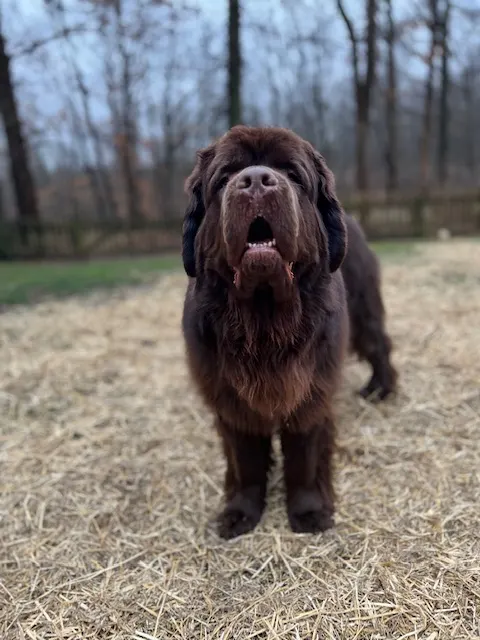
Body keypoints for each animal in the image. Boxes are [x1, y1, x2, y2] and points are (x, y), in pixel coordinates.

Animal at [182, 126, 396, 540]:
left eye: (293, 175)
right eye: (226, 176)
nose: (255, 181)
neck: (263, 321)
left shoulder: (311, 391)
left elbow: (304, 454)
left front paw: (309, 512)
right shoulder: (230, 398)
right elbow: (245, 460)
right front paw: (240, 514)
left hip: (364, 310)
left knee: (379, 345)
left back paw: (381, 389)